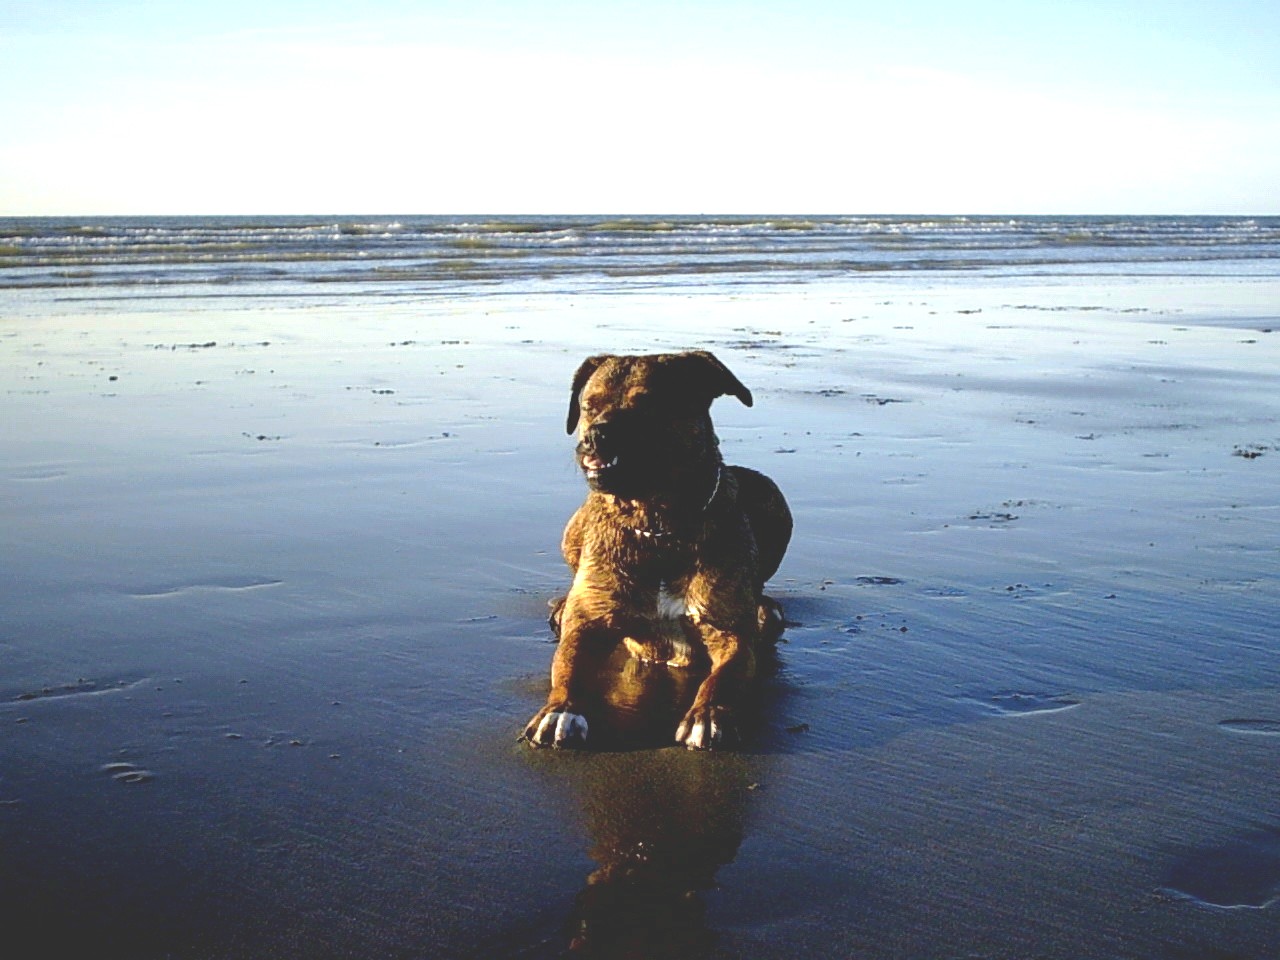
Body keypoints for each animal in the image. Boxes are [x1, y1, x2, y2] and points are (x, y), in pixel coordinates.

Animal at [523, 350, 792, 750]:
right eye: (588, 406)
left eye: (648, 405)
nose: (595, 435)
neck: (657, 526)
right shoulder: (588, 625)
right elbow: (569, 664)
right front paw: (560, 710)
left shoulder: (730, 635)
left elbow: (724, 676)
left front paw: (708, 714)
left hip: (770, 493)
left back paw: (764, 607)